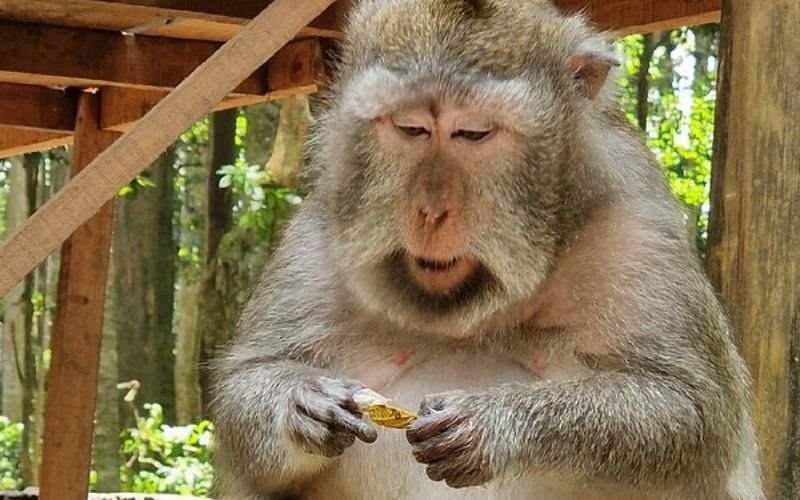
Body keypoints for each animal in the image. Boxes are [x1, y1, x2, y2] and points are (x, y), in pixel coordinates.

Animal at [210, 0, 763, 499]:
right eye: (410, 128)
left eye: (473, 133)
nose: (430, 209)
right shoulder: (323, 232)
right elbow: (244, 387)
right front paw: (303, 404)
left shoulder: (637, 234)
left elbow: (694, 413)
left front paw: (493, 422)